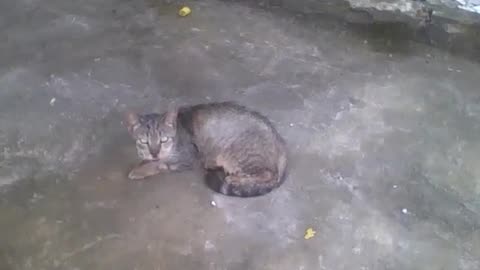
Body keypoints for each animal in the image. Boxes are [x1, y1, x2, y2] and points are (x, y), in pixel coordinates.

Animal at [124, 101, 288, 196]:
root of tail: (280, 142)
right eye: (144, 141)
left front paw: (140, 170)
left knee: (268, 174)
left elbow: (161, 164)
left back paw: (234, 178)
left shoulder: (189, 158)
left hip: (240, 155)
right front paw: (143, 162)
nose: (154, 152)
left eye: (163, 140)